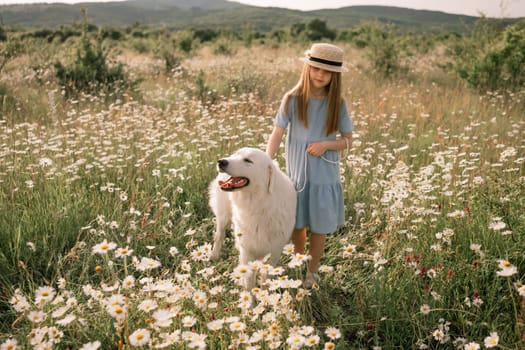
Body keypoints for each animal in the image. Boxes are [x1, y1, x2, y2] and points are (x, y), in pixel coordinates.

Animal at [210, 146, 298, 288]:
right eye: (235, 155)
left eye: (248, 160)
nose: (221, 161)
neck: (260, 204)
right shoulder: (247, 249)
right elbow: (249, 280)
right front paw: (250, 293)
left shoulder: (276, 249)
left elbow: (266, 275)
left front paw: (265, 290)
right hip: (223, 217)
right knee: (219, 236)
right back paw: (214, 256)